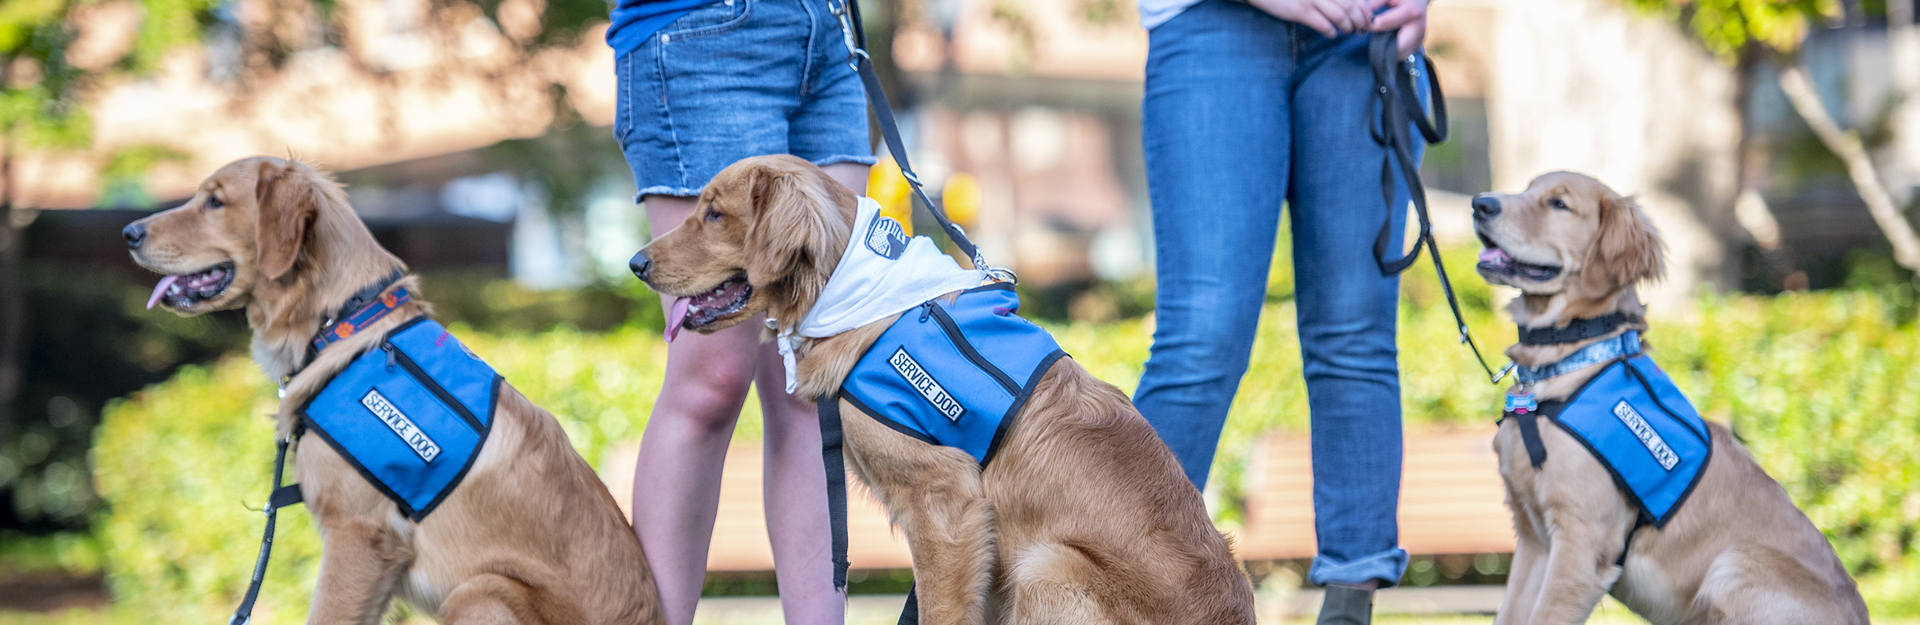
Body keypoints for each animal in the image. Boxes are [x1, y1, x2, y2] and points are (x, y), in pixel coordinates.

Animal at [1466, 172, 1858, 625]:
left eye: (1559, 204)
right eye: (1527, 190)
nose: (1481, 204)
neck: (1568, 360)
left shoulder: (1581, 545)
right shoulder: (1533, 540)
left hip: (1734, 564)